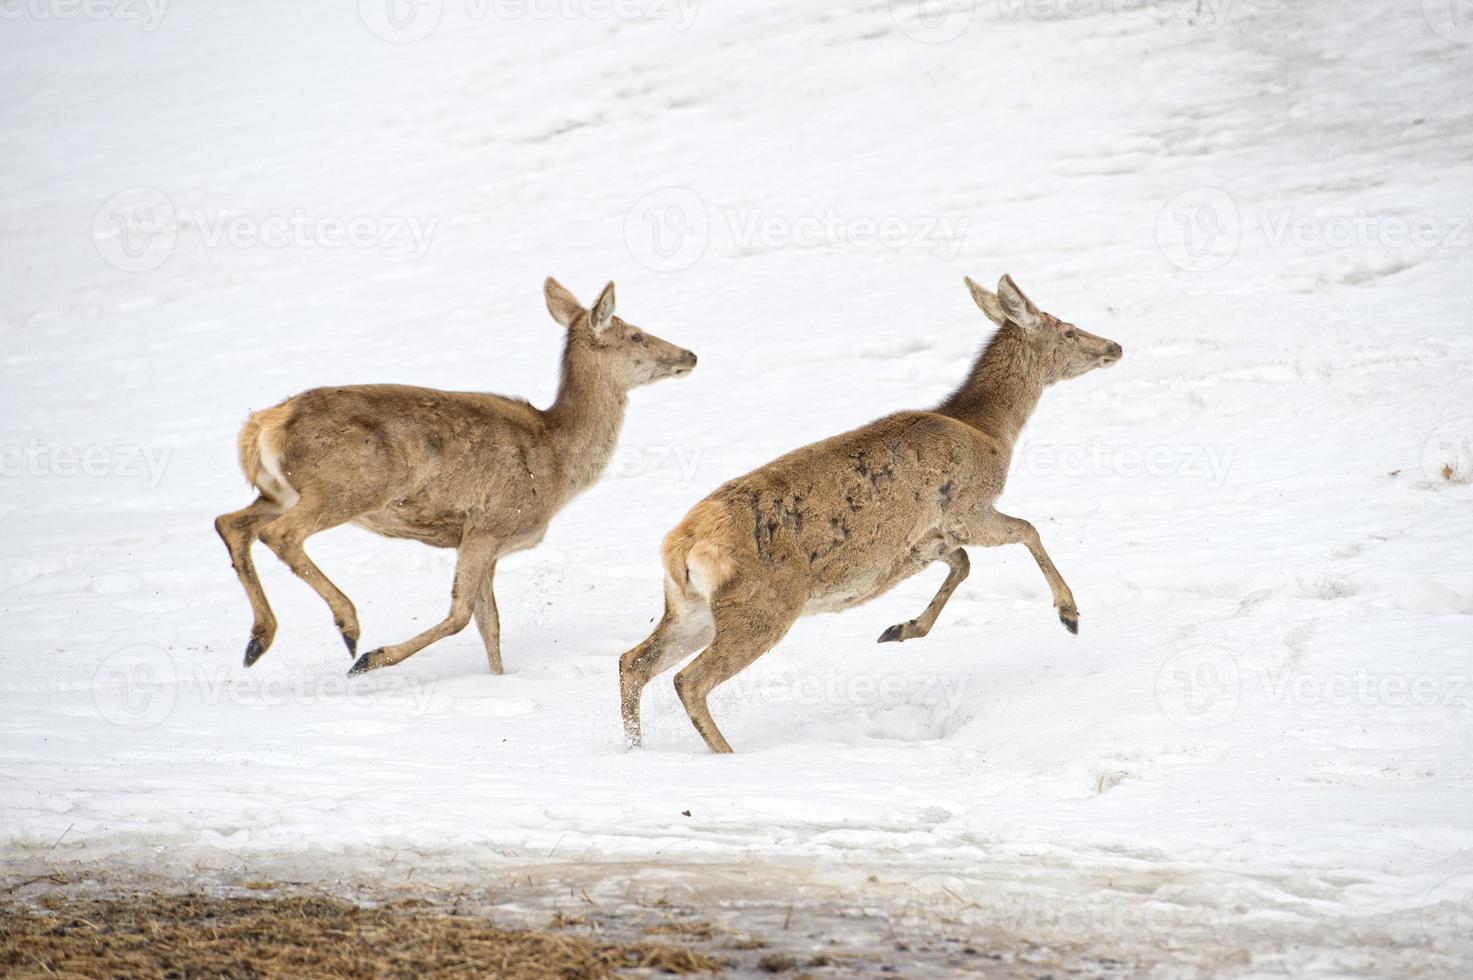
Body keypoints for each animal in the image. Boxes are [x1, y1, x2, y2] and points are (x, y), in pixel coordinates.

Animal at [215, 275, 698, 672]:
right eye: (635, 334)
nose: (689, 354)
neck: (558, 463)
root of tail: (263, 424)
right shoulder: (488, 524)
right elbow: (462, 614)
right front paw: (374, 658)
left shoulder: (485, 541)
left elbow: (490, 624)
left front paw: (499, 679)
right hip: (346, 487)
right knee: (279, 533)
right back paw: (350, 628)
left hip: (280, 490)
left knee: (231, 522)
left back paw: (258, 641)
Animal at [615, 272, 1119, 748]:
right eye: (1068, 329)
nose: (1114, 345)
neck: (990, 432)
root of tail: (679, 547)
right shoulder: (966, 507)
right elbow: (1028, 530)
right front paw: (1069, 613)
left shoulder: (926, 542)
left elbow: (963, 566)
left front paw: (900, 628)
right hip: (762, 606)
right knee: (690, 679)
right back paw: (724, 752)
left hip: (689, 608)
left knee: (632, 662)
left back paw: (635, 749)